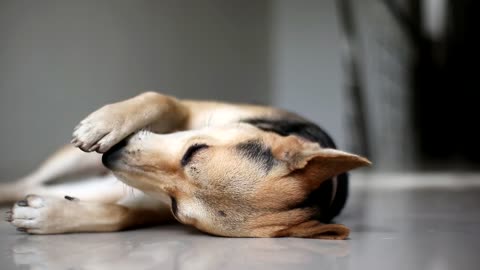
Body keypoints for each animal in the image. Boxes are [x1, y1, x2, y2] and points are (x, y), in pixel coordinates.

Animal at [1, 92, 370, 239]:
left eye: (177, 208)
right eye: (195, 150)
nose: (111, 157)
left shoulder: (152, 204)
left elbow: (122, 216)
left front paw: (49, 216)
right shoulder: (190, 110)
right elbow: (160, 99)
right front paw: (107, 122)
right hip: (71, 160)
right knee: (29, 181)